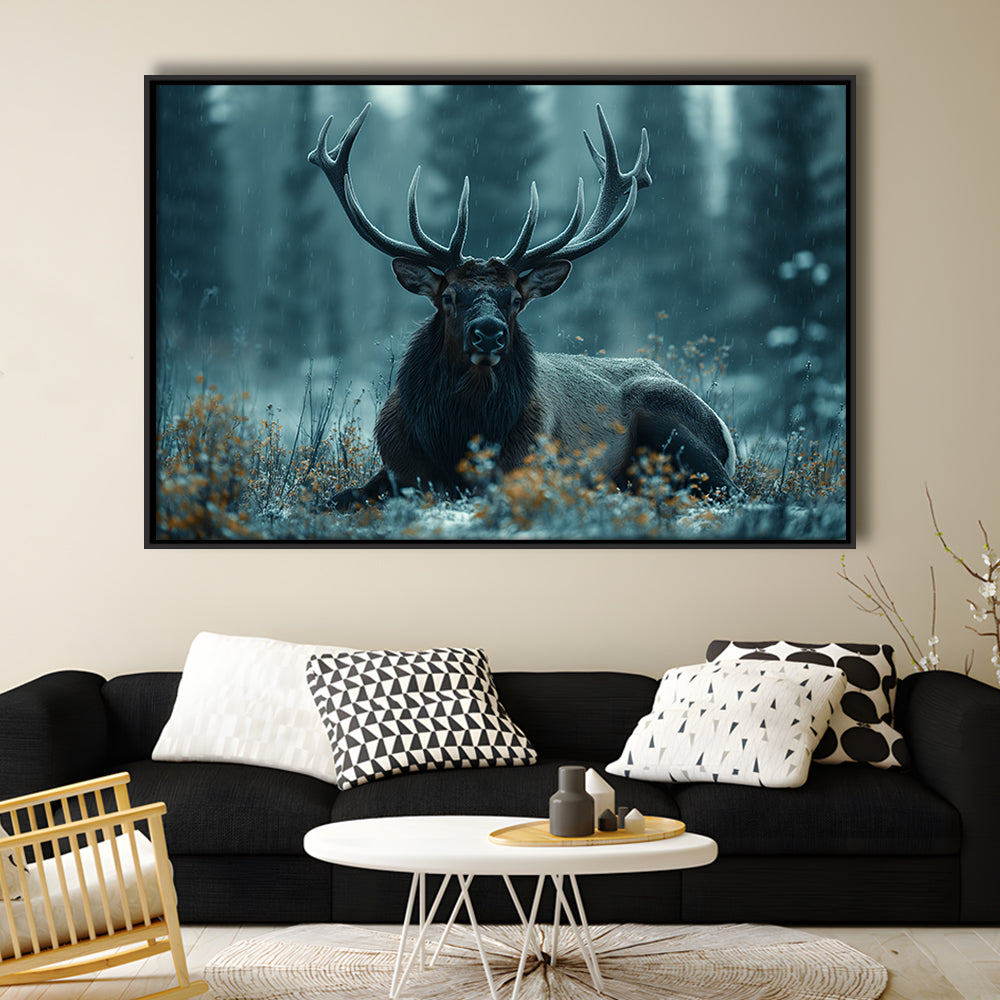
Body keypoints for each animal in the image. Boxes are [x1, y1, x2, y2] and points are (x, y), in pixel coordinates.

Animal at [308, 103, 736, 511]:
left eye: (515, 300)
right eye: (449, 296)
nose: (489, 333)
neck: (456, 439)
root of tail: (723, 428)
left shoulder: (531, 464)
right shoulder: (398, 466)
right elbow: (338, 497)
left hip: (668, 418)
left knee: (728, 490)